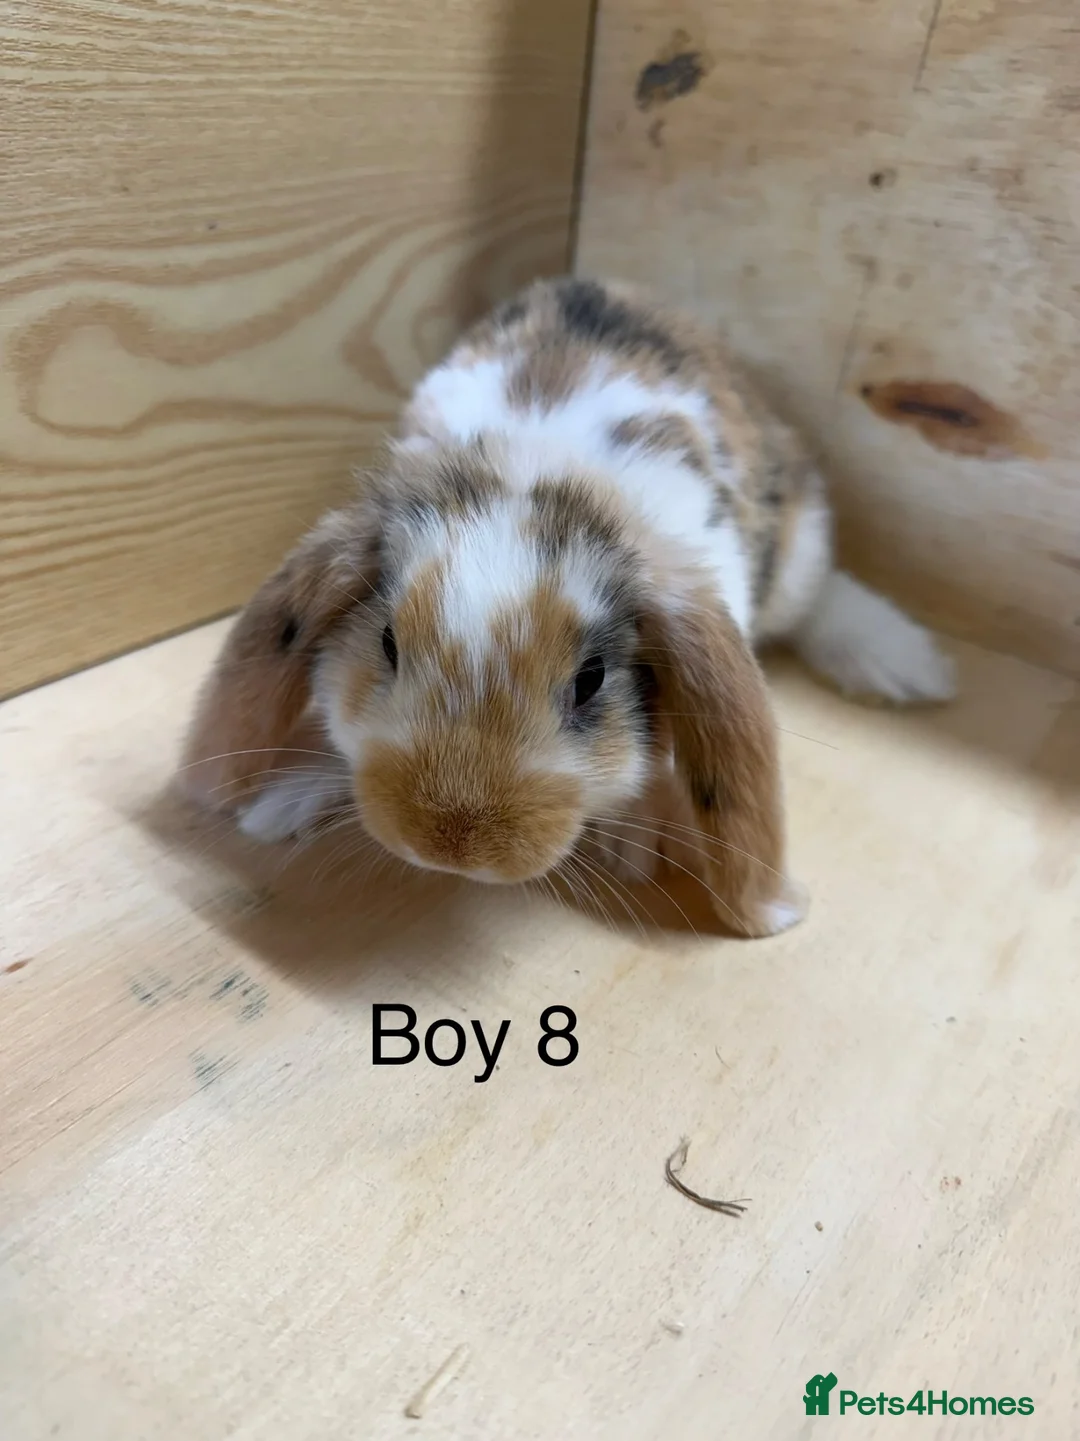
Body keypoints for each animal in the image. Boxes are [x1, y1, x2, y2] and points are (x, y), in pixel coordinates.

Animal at [179, 277, 955, 938]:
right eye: (388, 645)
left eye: (590, 680)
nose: (453, 843)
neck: (544, 467)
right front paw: (285, 804)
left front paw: (630, 841)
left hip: (800, 559)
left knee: (822, 600)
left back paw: (903, 663)